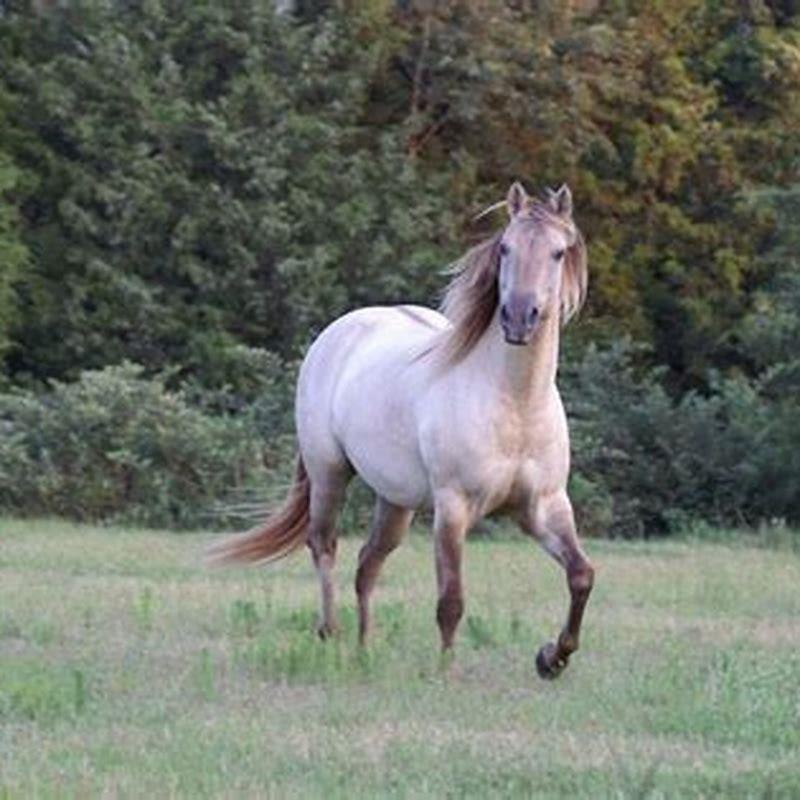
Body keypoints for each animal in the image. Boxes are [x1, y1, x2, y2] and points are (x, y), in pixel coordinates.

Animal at [212, 181, 595, 679]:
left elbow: (581, 575)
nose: (518, 318)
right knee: (324, 546)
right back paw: (331, 634)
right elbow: (451, 601)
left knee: (367, 565)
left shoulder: (544, 507)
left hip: (395, 501)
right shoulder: (453, 507)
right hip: (329, 473)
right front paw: (447, 672)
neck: (514, 404)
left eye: (557, 252)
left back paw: (364, 651)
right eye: (506, 248)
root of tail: (338, 332)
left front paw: (552, 658)